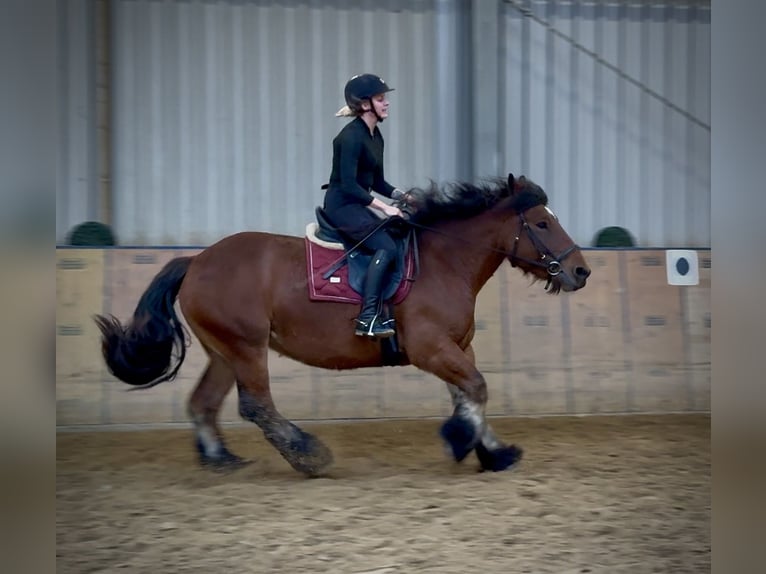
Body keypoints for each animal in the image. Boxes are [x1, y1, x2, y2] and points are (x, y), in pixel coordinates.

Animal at [95, 173, 591, 476]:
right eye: (542, 223)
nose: (581, 272)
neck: (444, 260)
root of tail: (196, 260)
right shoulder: (431, 348)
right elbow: (477, 388)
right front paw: (462, 441)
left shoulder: (457, 347)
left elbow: (470, 393)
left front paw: (492, 451)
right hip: (246, 346)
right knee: (255, 405)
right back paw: (308, 455)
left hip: (224, 350)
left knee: (203, 403)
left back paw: (222, 459)